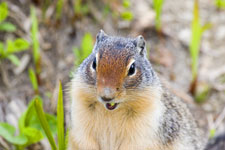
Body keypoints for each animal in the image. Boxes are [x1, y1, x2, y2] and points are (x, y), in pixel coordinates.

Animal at [68, 29, 206, 149]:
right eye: (94, 63)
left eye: (132, 68)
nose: (107, 96)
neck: (112, 112)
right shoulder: (79, 120)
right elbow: (85, 141)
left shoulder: (145, 128)